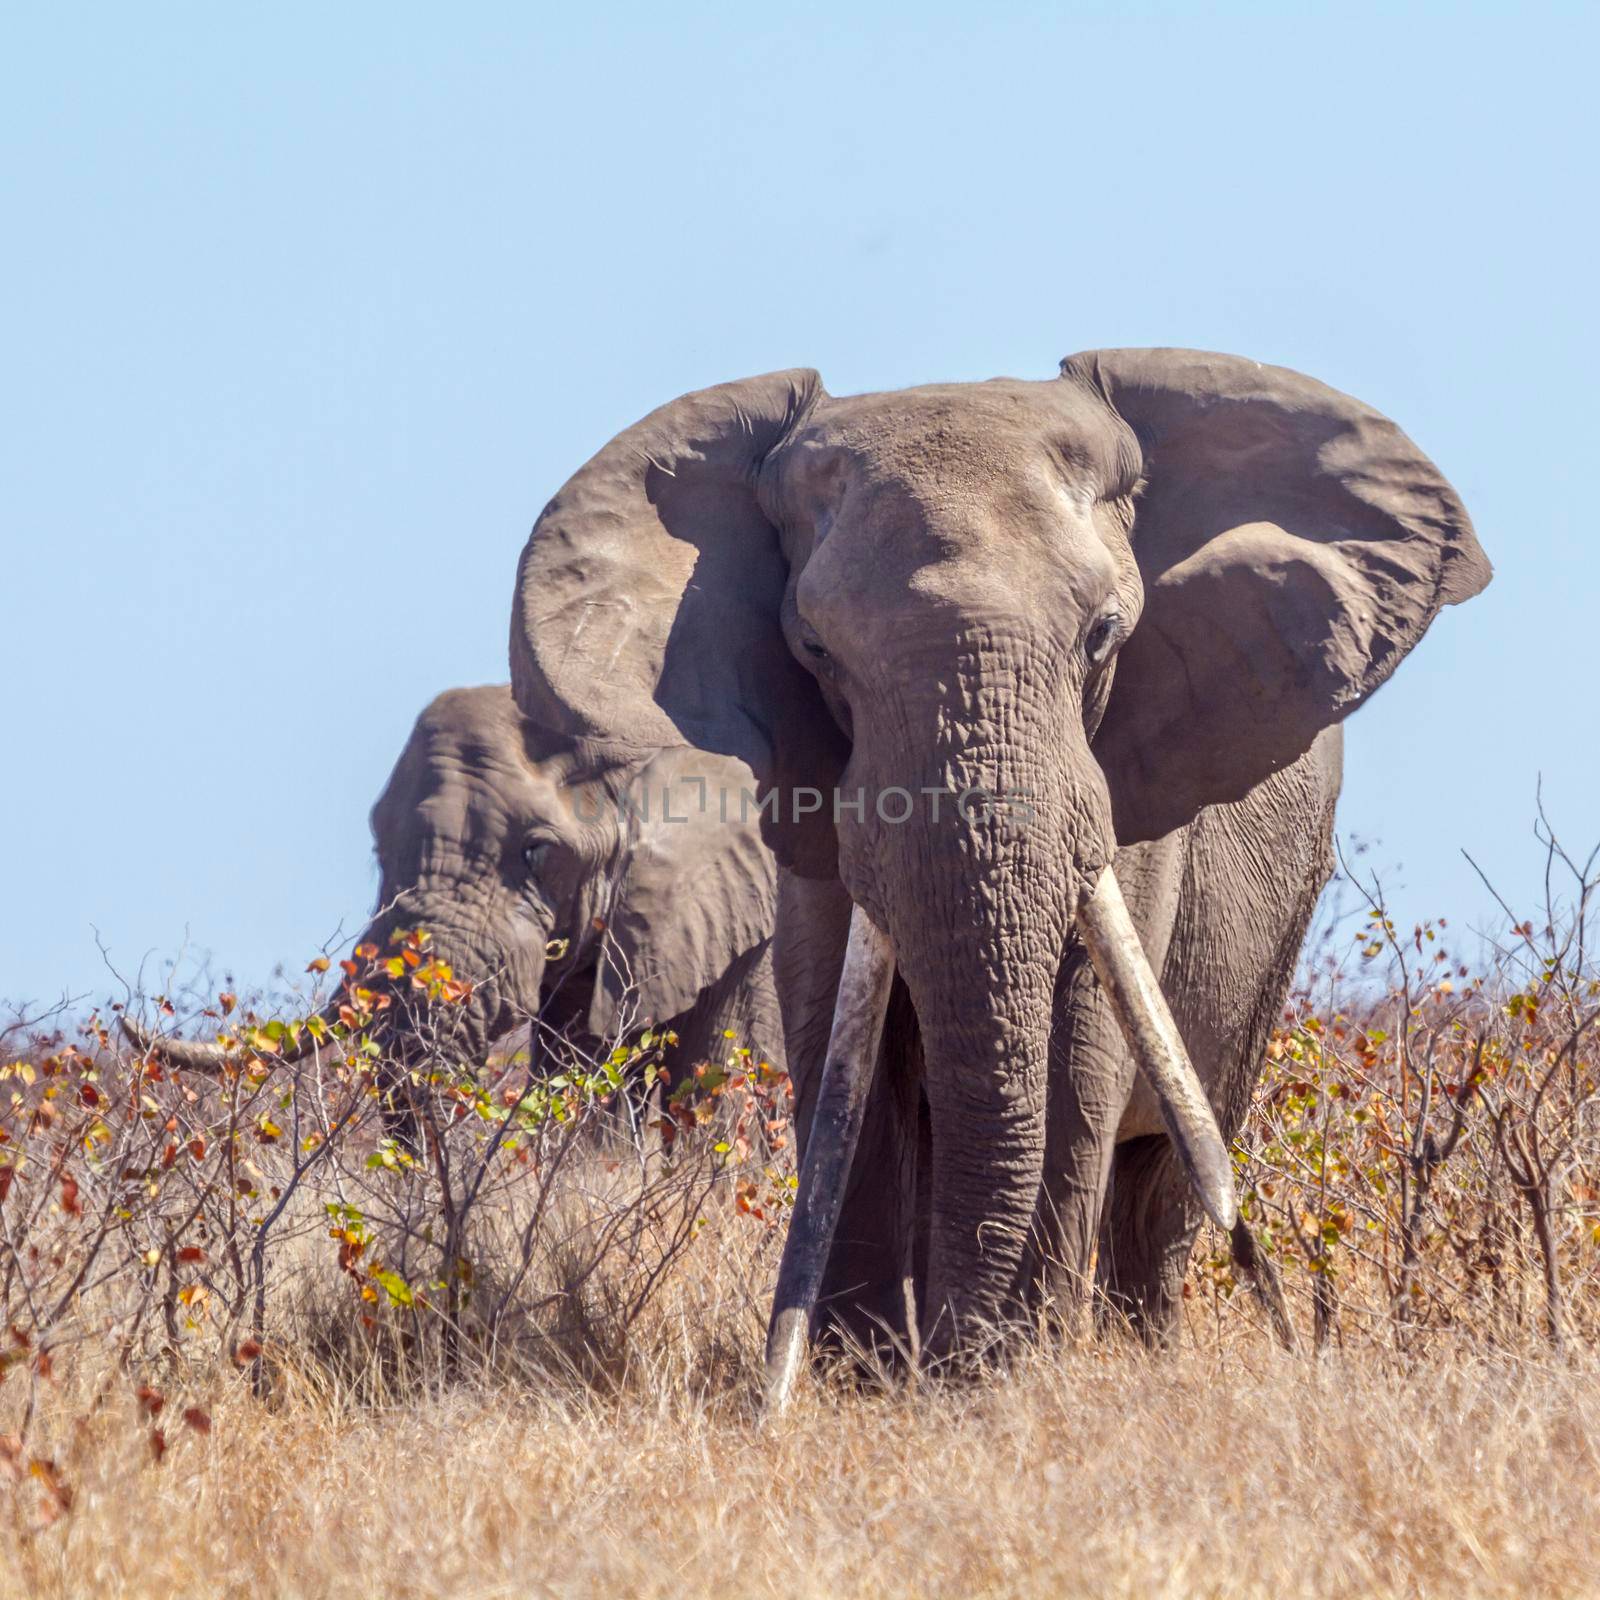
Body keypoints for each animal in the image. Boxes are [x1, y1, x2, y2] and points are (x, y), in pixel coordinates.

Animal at [508, 350, 1484, 1388]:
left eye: (1103, 635)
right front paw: (864, 1384)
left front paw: (1013, 1374)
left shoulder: (1125, 798)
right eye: (815, 652)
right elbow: (844, 1066)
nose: (955, 1361)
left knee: (1162, 1179)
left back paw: (1139, 1351)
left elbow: (1079, 1059)